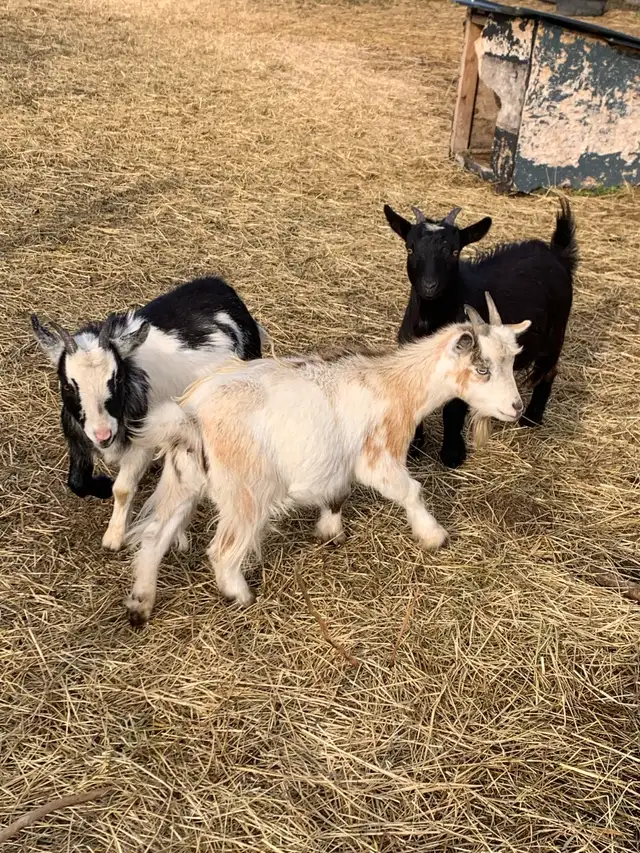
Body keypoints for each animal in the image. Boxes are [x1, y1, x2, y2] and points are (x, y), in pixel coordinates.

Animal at [32, 276, 265, 551]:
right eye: (68, 385)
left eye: (117, 378)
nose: (103, 434)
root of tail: (220, 287)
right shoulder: (79, 436)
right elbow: (77, 482)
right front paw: (102, 486)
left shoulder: (139, 443)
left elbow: (122, 489)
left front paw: (114, 536)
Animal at [124, 294, 530, 625]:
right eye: (482, 368)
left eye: (512, 361)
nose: (516, 407)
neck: (395, 384)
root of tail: (192, 414)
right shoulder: (377, 455)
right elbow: (410, 491)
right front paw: (434, 536)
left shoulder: (337, 461)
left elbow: (337, 495)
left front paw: (330, 532)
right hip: (246, 491)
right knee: (222, 551)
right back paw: (239, 595)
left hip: (184, 477)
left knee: (155, 535)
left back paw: (140, 606)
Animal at [384, 199, 577, 468]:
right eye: (410, 248)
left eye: (454, 252)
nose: (429, 286)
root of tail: (556, 254)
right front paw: (413, 447)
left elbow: (454, 409)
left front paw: (452, 455)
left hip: (556, 331)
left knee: (548, 370)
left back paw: (532, 418)